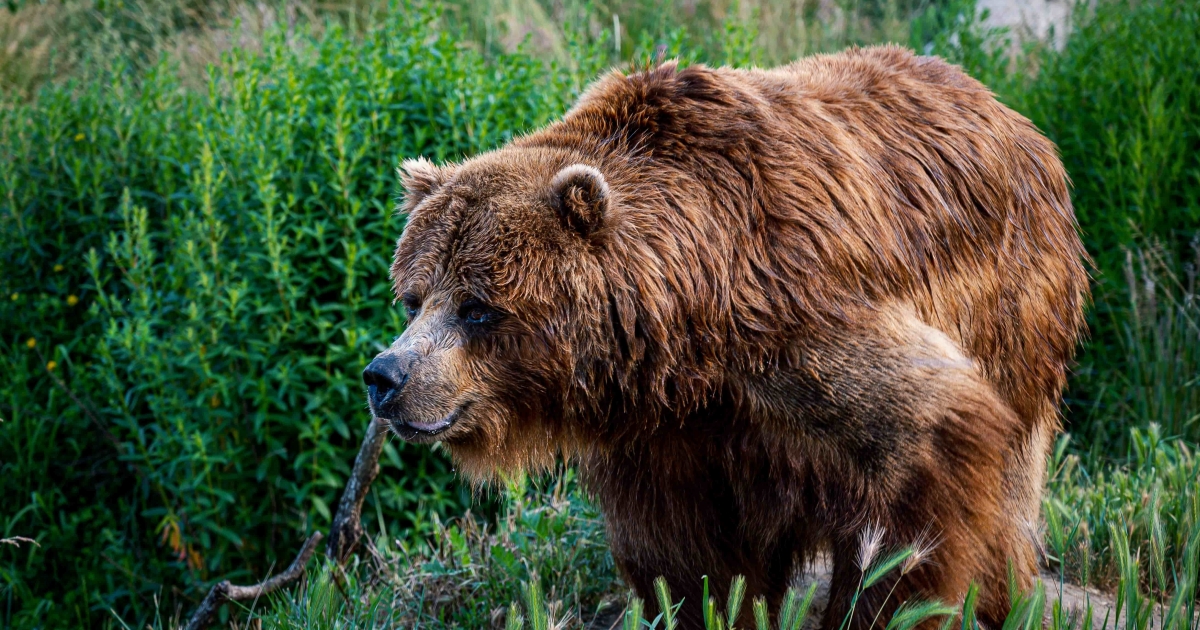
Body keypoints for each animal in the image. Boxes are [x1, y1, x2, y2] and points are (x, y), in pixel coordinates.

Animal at [362, 45, 1089, 628]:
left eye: (479, 308)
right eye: (414, 296)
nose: (386, 375)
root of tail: (1010, 113)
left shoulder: (795, 319)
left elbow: (927, 437)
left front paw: (879, 605)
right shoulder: (670, 437)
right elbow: (687, 560)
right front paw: (710, 607)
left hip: (1015, 306)